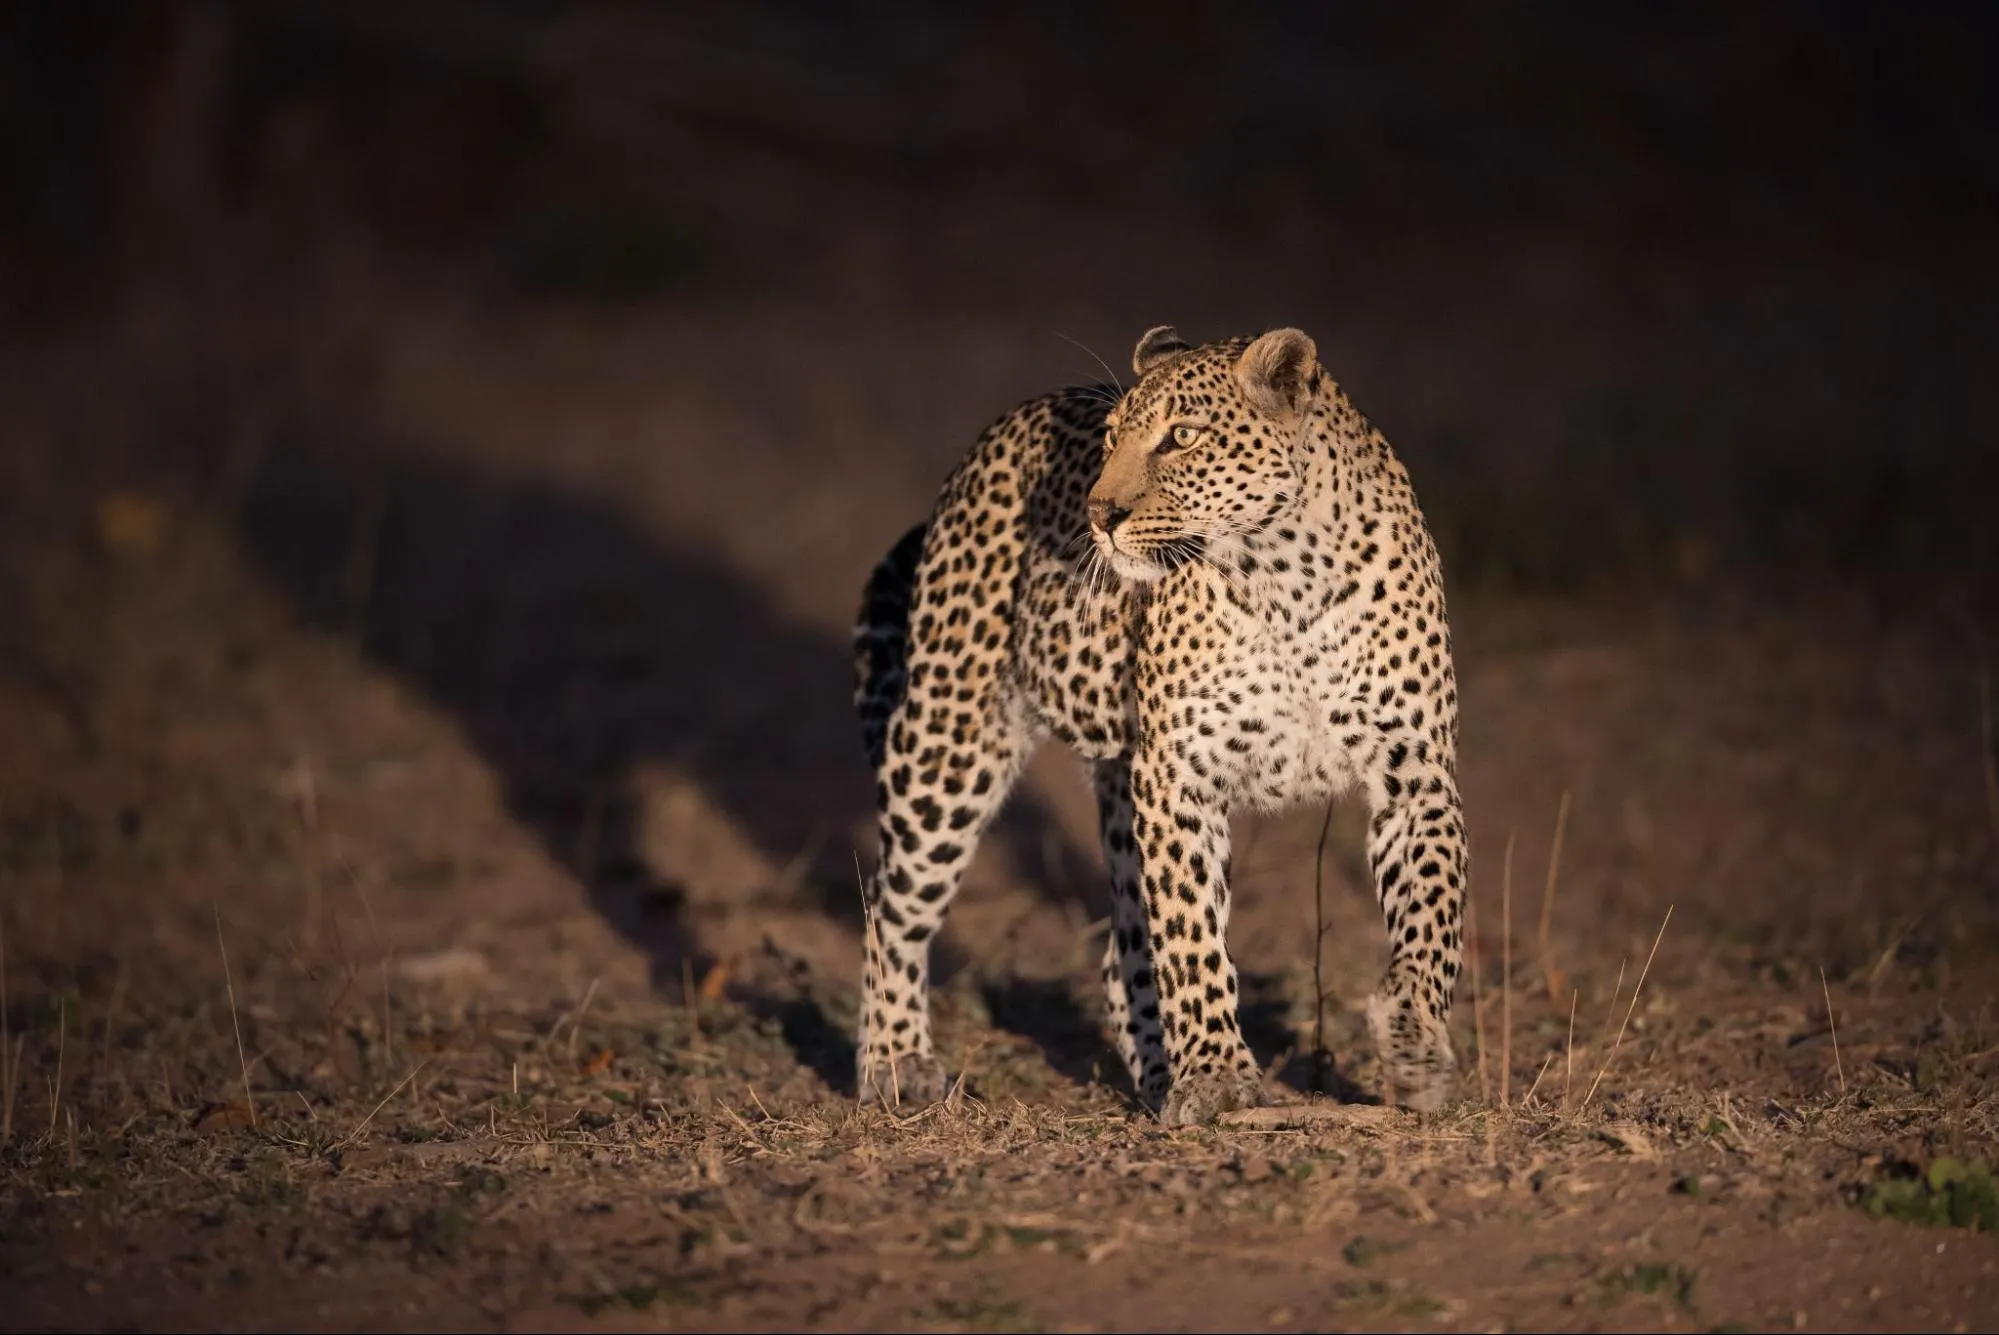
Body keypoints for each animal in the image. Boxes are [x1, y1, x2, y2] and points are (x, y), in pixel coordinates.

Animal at [851, 327, 1463, 1119]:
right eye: (1114, 437)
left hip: (1114, 781)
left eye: (1181, 438)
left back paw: (1150, 1071)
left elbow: (1431, 917)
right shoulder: (1179, 776)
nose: (1099, 515)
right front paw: (1216, 1077)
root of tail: (999, 430)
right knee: (891, 907)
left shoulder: (1416, 773)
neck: (1286, 576)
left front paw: (1415, 1045)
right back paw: (895, 1062)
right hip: (950, 744)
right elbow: (1191, 937)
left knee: (1121, 952)